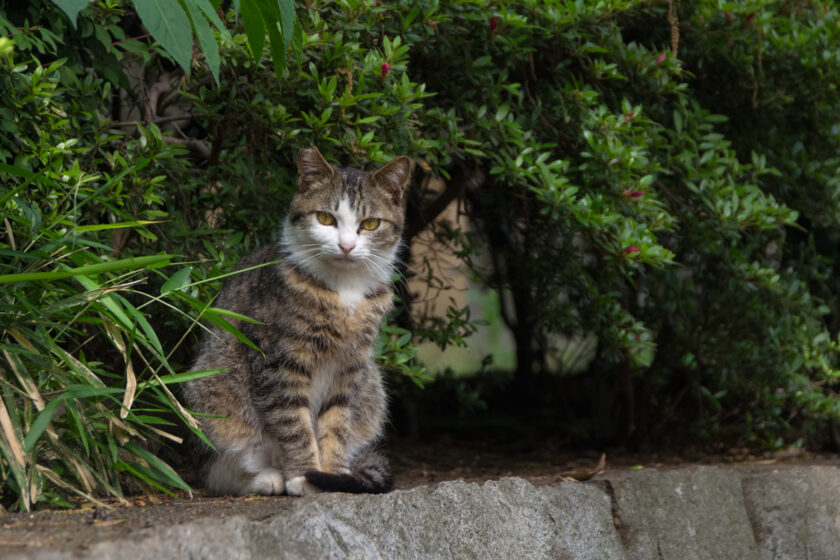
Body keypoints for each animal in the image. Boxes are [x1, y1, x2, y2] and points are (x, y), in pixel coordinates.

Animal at [185, 148, 416, 494]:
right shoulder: (280, 362)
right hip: (213, 391)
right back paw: (267, 478)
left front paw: (333, 475)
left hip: (372, 389)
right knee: (223, 467)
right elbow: (294, 423)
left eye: (370, 224)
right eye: (326, 218)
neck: (344, 291)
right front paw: (303, 474)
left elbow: (336, 424)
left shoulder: (349, 368)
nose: (346, 246)